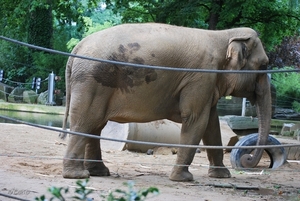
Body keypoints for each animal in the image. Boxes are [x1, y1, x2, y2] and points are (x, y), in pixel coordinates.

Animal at [60, 22, 270, 181]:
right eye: (264, 65)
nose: (248, 158)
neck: (224, 35)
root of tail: (77, 48)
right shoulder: (201, 76)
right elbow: (195, 120)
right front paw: (183, 178)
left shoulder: (207, 82)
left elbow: (212, 123)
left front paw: (222, 175)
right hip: (93, 80)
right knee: (86, 121)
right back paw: (77, 175)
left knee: (94, 125)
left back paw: (99, 173)